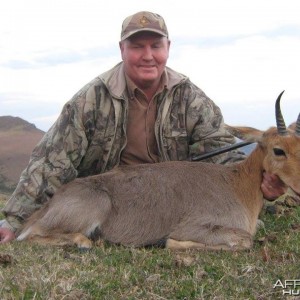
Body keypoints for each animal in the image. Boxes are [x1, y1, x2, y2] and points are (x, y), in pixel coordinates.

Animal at [17, 91, 300, 251]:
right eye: (278, 150)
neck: (236, 184)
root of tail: (49, 206)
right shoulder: (197, 227)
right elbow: (244, 241)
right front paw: (169, 243)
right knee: (28, 237)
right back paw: (84, 243)